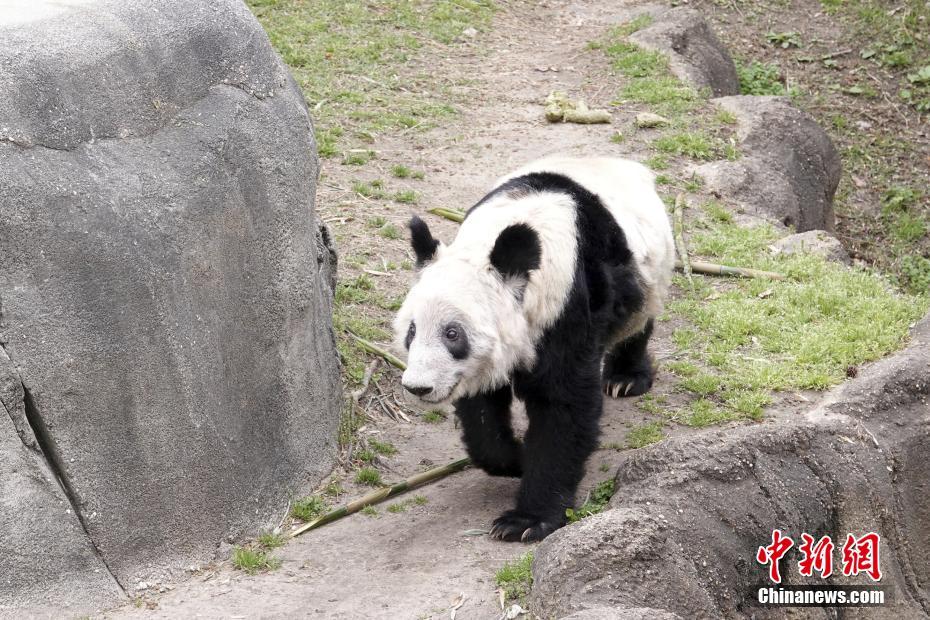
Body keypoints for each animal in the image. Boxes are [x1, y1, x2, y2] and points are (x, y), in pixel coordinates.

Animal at [394, 156, 676, 544]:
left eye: (453, 334)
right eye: (412, 330)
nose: (418, 387)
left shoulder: (565, 304)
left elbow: (563, 405)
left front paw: (526, 521)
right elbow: (482, 412)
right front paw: (515, 459)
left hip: (647, 270)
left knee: (638, 317)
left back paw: (626, 378)